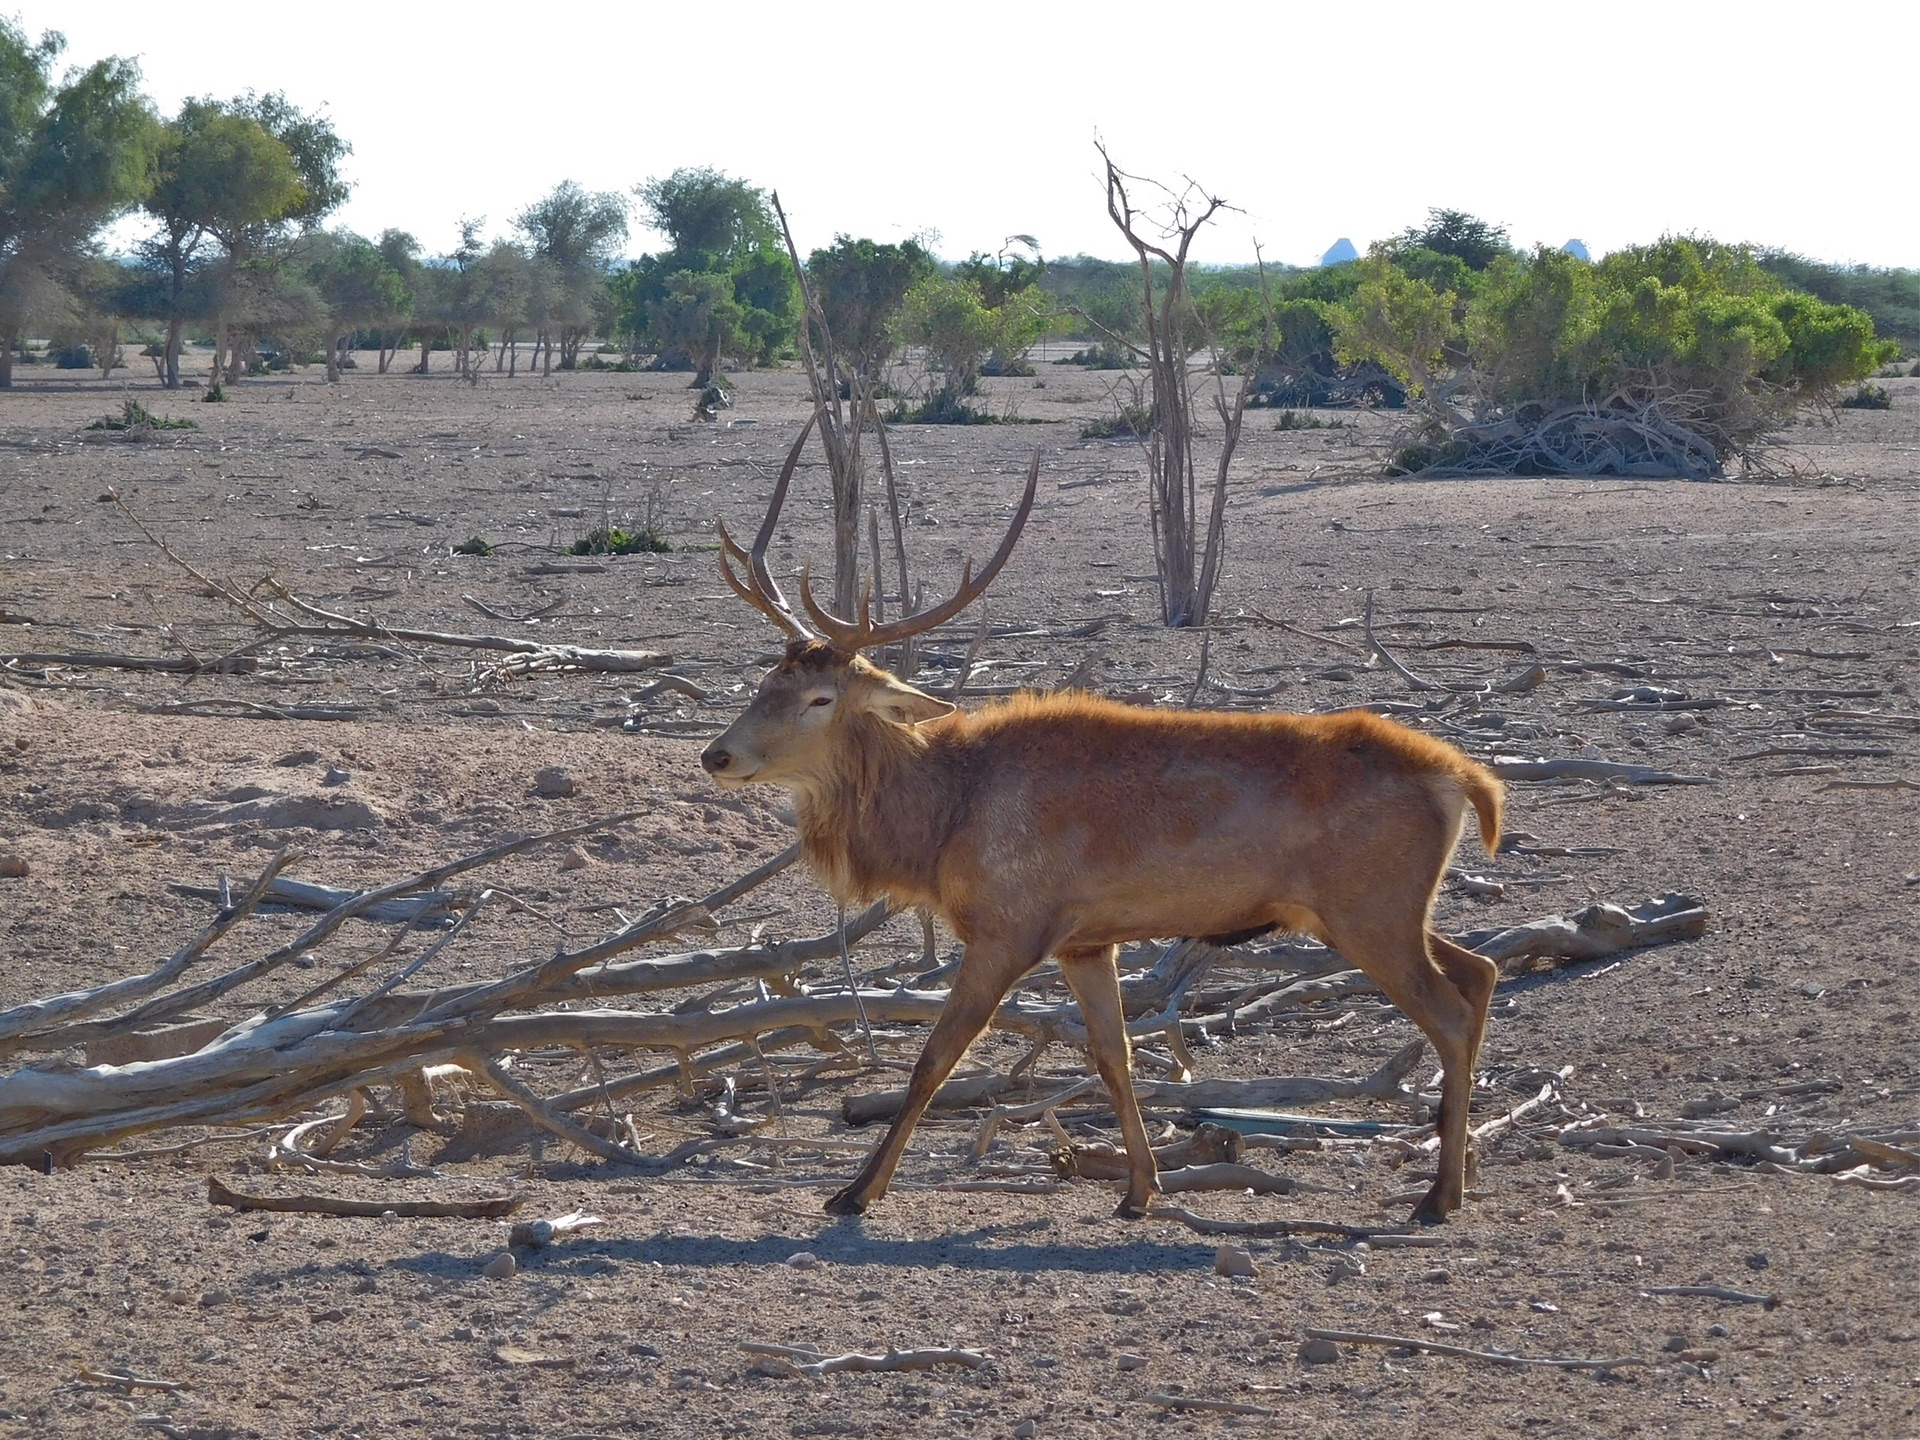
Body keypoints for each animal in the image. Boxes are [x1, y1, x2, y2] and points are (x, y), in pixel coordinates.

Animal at [698, 428, 1505, 1228]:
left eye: (822, 698)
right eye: (765, 682)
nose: (718, 754)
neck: (942, 824)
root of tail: (1465, 778)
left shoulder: (1009, 926)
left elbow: (936, 1058)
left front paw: (857, 1190)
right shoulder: (1085, 941)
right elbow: (1113, 1056)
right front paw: (1139, 1188)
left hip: (1368, 911)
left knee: (1449, 1012)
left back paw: (1439, 1196)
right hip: (1386, 909)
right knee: (1480, 970)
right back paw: (1457, 1167)